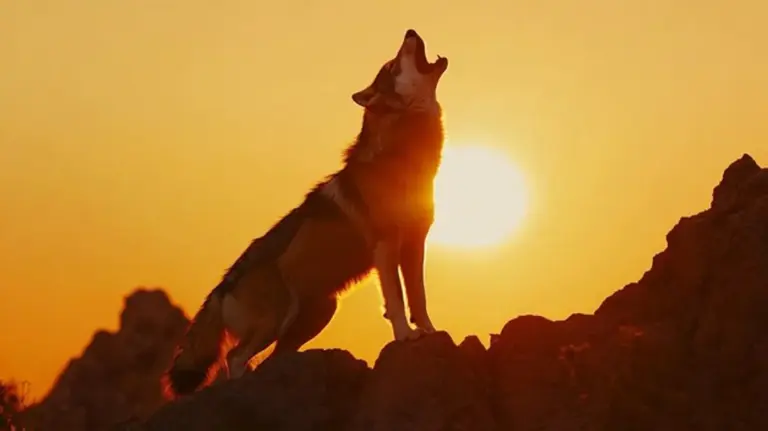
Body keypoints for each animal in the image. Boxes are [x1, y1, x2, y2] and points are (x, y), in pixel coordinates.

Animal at [166, 29, 449, 396]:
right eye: (392, 65)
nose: (410, 31)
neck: (403, 158)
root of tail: (223, 284)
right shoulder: (386, 248)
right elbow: (397, 301)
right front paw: (405, 336)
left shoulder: (415, 244)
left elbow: (419, 297)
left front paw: (429, 331)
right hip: (276, 321)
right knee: (235, 358)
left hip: (317, 314)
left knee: (269, 358)